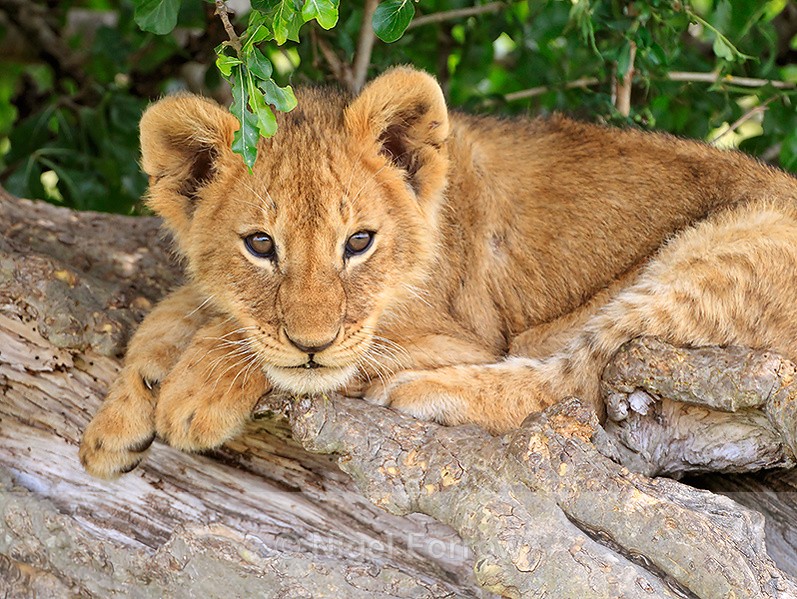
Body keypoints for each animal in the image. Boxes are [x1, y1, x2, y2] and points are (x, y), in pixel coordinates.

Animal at [80, 67, 797, 479]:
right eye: (260, 244)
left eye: (359, 242)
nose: (310, 344)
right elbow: (173, 311)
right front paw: (114, 424)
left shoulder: (458, 334)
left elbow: (284, 348)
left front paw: (193, 392)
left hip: (717, 252)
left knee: (576, 374)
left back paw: (424, 391)